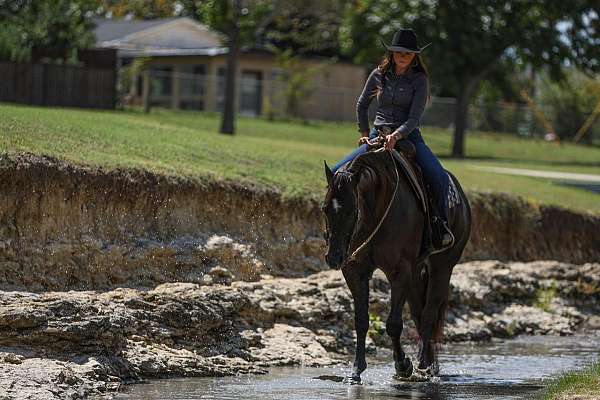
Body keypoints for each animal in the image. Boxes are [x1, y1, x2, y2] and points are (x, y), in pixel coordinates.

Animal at [324, 148, 468, 384]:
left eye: (352, 210)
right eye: (325, 208)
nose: (334, 257)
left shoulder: (399, 272)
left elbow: (393, 324)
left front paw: (403, 365)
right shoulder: (355, 271)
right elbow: (361, 321)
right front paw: (356, 371)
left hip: (442, 267)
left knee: (429, 314)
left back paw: (422, 365)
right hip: (416, 275)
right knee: (419, 313)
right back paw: (430, 365)